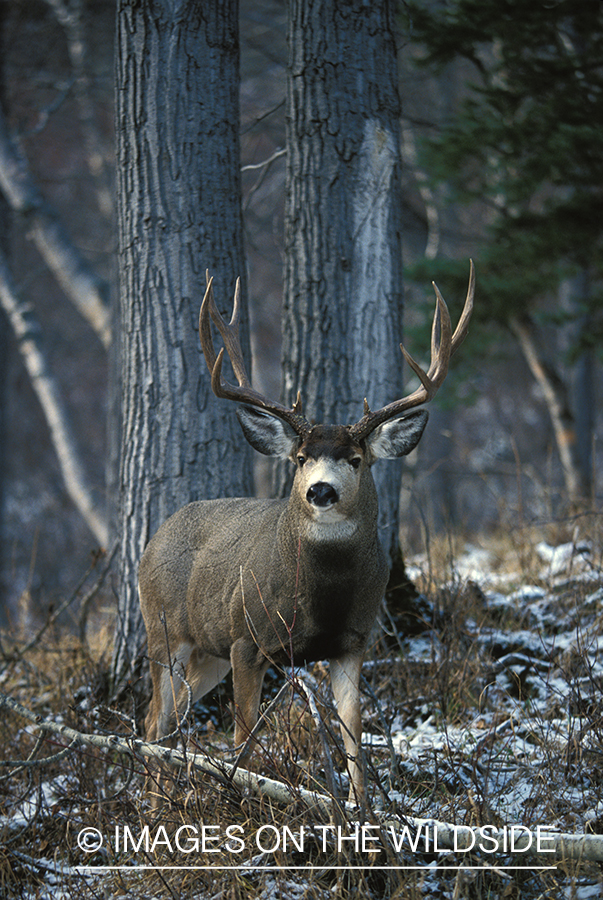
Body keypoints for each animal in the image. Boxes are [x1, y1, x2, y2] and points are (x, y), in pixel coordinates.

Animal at [139, 262, 474, 804]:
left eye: (356, 459)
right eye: (299, 458)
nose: (320, 490)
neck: (320, 596)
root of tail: (154, 537)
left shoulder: (352, 642)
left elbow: (354, 738)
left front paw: (363, 812)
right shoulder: (247, 638)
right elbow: (243, 739)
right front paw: (243, 799)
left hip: (207, 653)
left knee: (170, 720)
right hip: (165, 632)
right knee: (153, 721)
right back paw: (150, 807)